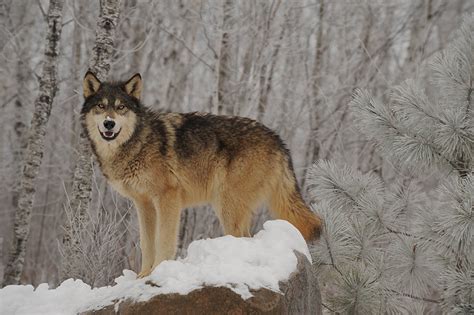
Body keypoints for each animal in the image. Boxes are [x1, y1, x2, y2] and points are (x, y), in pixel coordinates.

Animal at [81, 72, 322, 278]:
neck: (138, 142)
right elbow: (147, 243)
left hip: (226, 205)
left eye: (121, 107)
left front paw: (159, 271)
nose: (109, 123)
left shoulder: (168, 197)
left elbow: (164, 241)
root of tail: (278, 139)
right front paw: (143, 276)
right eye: (101, 106)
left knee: (243, 237)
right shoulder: (144, 204)